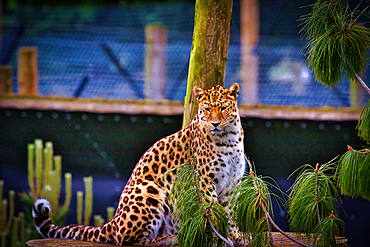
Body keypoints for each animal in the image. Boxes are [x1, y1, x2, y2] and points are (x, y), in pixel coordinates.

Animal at [31, 83, 246, 245]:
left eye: (223, 108)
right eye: (207, 109)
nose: (215, 123)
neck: (228, 138)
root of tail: (114, 221)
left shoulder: (232, 182)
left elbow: (231, 211)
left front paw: (236, 236)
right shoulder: (204, 179)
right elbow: (213, 210)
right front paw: (217, 238)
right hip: (149, 191)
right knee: (126, 240)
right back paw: (166, 240)